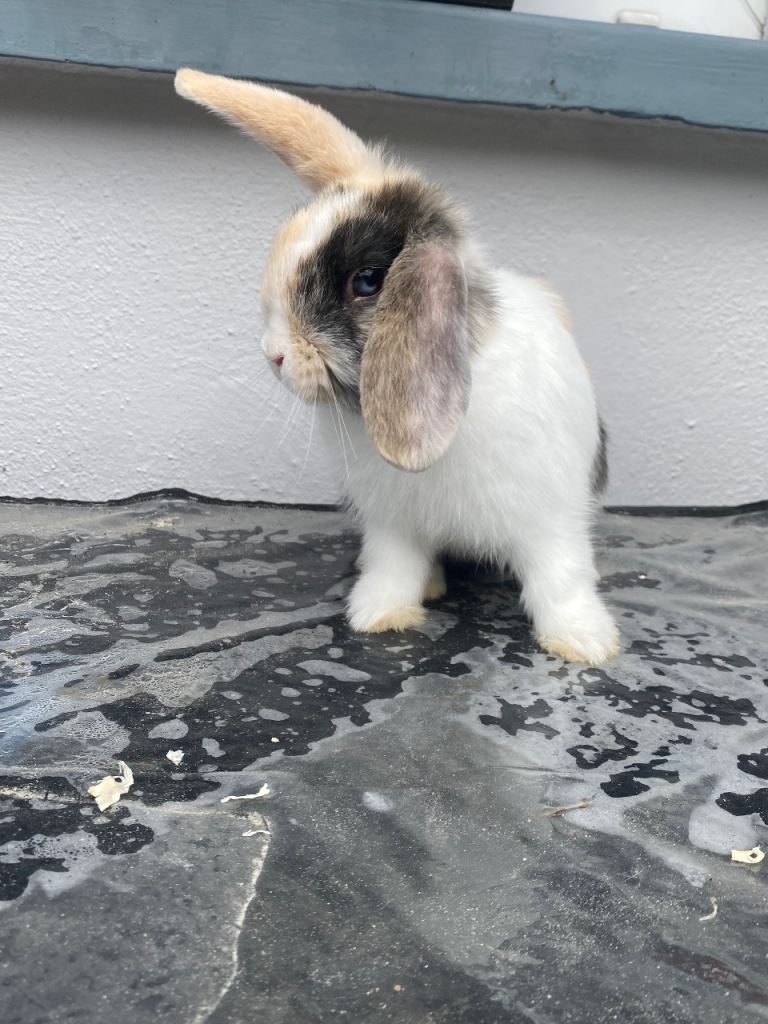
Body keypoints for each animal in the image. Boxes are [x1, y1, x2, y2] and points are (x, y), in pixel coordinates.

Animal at [174, 69, 619, 666]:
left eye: (366, 281)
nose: (274, 354)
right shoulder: (393, 523)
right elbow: (394, 567)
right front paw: (381, 616)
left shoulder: (550, 517)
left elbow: (559, 578)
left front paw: (584, 643)